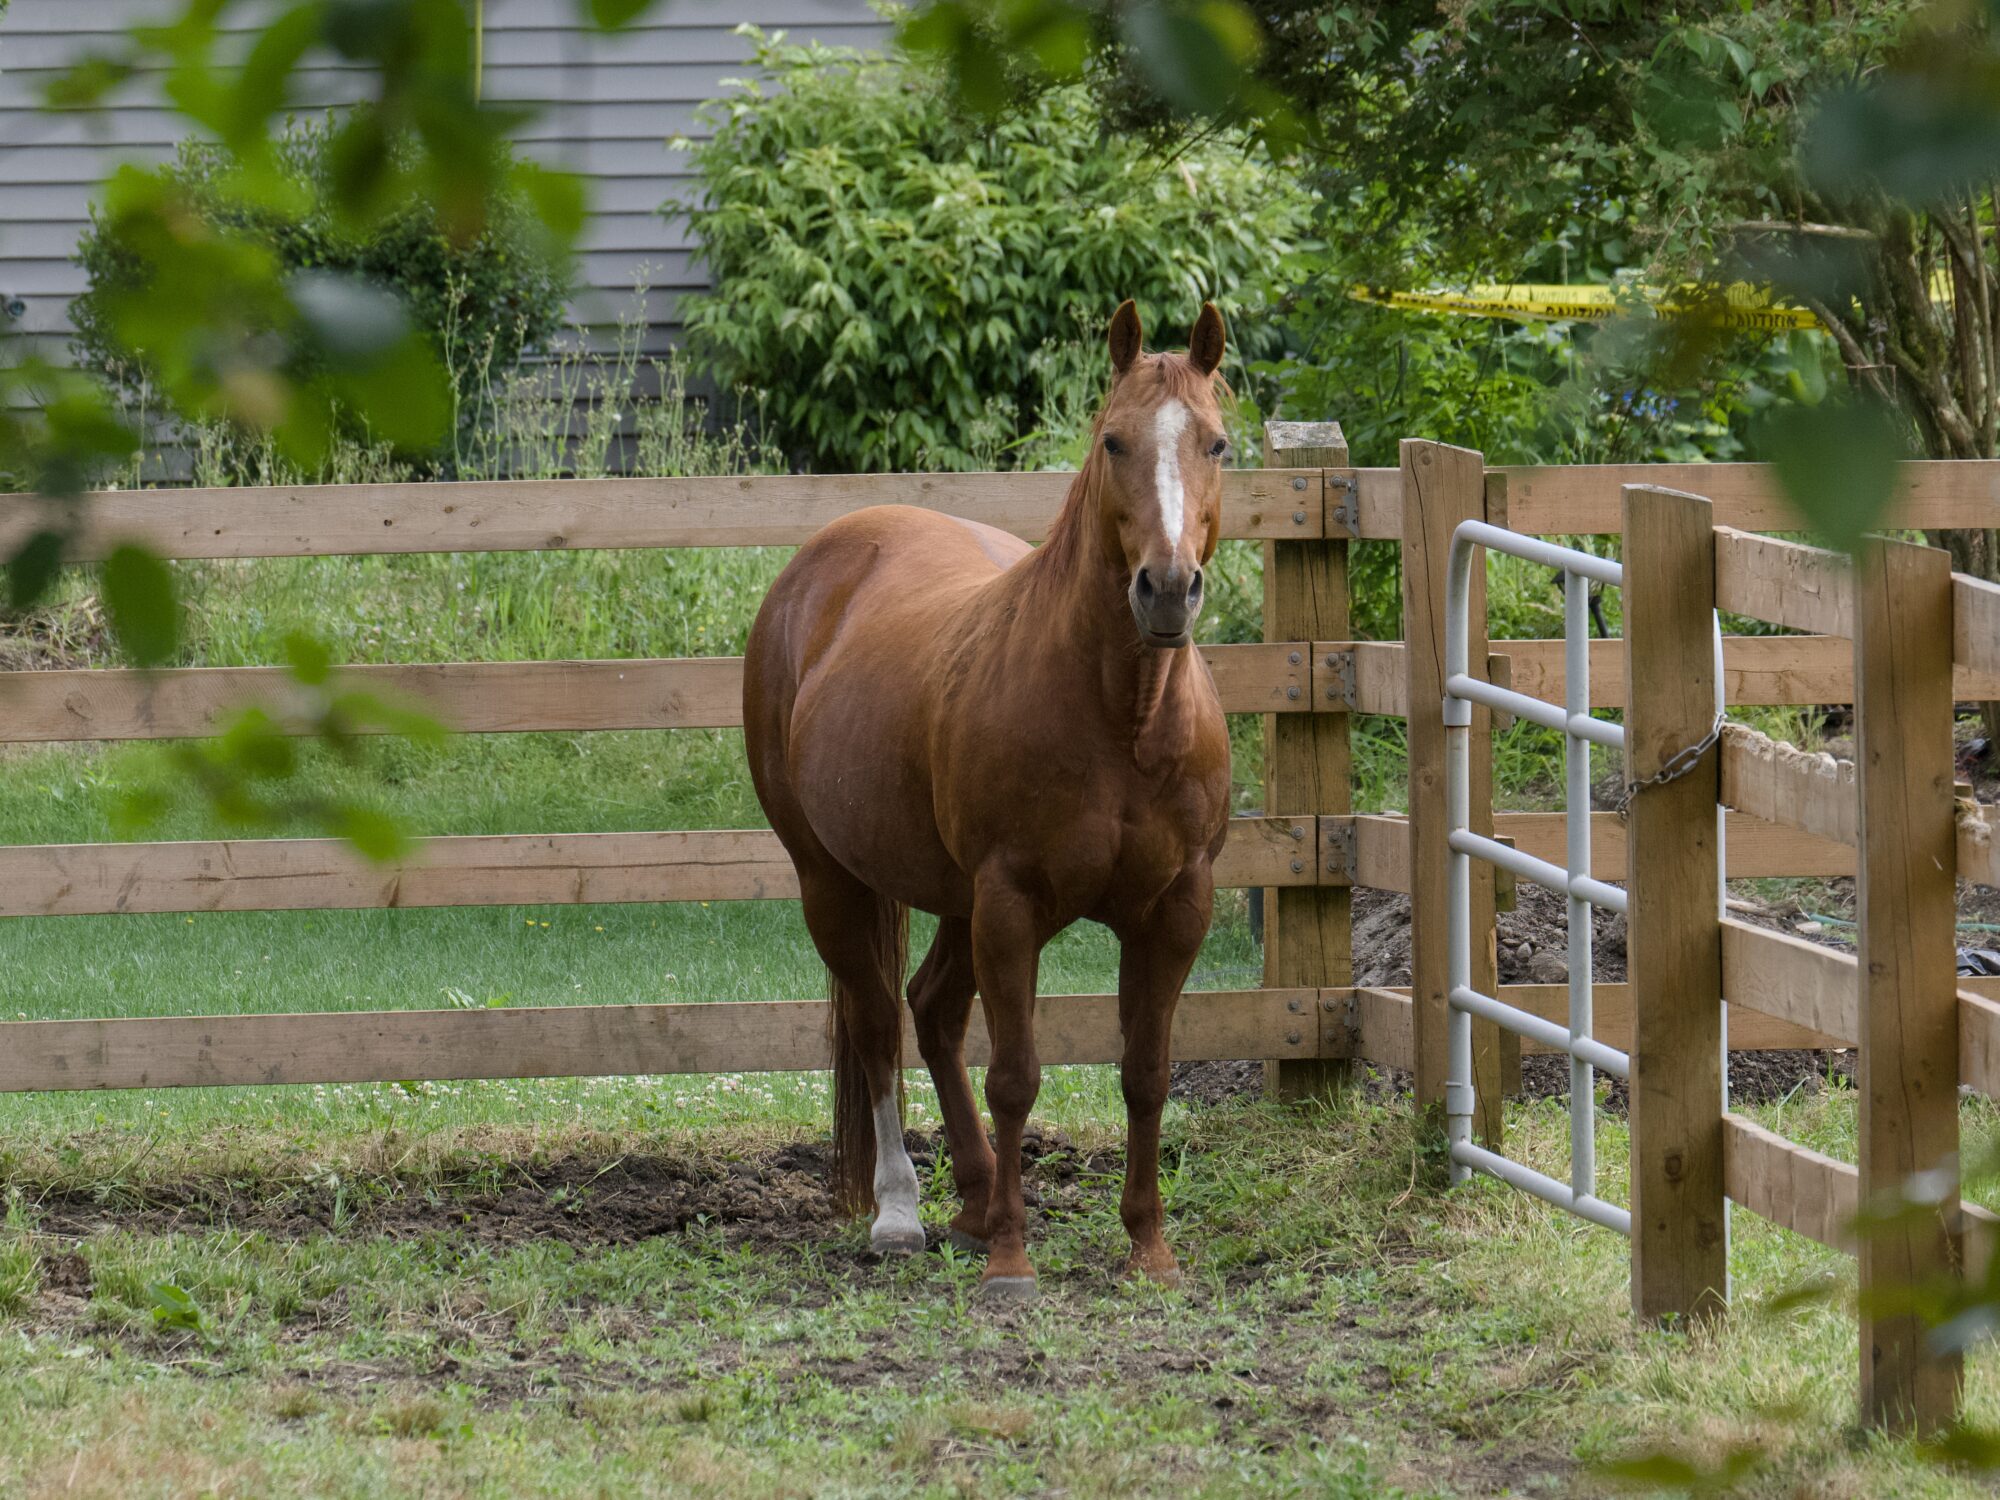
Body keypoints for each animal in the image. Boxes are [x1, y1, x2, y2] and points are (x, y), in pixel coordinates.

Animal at [742, 301, 1233, 1301]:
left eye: (1218, 443)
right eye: (1114, 440)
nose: (1166, 590)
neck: (1121, 718)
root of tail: (823, 562)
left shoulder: (1176, 910)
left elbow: (1147, 1072)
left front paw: (1148, 1248)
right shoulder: (1011, 905)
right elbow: (1015, 1074)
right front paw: (1013, 1259)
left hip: (955, 901)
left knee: (930, 1010)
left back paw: (969, 1203)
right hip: (833, 882)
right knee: (879, 1020)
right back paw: (903, 1213)